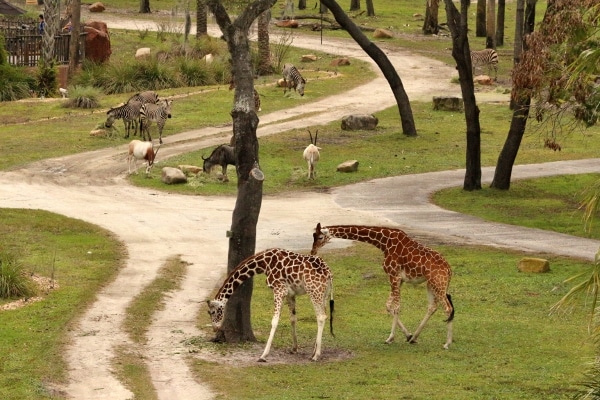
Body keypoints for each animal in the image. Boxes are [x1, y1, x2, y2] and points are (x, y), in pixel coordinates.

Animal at [207, 247, 336, 362]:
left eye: (212, 312)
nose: (215, 328)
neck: (264, 264)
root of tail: (329, 274)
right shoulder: (290, 293)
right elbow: (293, 318)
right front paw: (294, 348)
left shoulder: (279, 290)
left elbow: (274, 321)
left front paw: (263, 355)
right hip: (324, 294)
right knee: (323, 315)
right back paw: (314, 351)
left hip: (314, 292)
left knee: (321, 317)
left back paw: (316, 355)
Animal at [310, 223, 454, 348]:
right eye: (313, 235)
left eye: (320, 237)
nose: (313, 251)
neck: (383, 242)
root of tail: (449, 269)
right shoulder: (399, 279)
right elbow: (389, 306)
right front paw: (408, 335)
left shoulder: (394, 275)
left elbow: (396, 307)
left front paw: (390, 338)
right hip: (431, 284)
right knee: (432, 306)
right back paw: (414, 338)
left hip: (438, 284)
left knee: (448, 308)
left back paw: (447, 343)